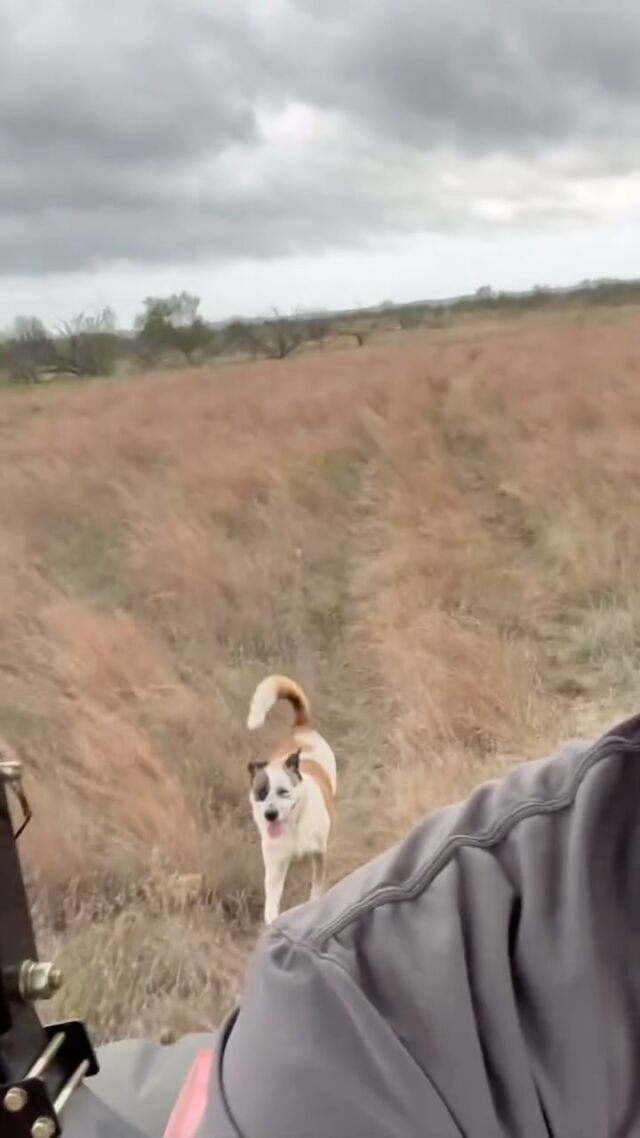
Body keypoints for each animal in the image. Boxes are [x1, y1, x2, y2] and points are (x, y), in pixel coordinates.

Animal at [244, 673, 339, 924]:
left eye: (283, 791)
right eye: (261, 793)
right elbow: (271, 901)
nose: (270, 814)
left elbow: (316, 887)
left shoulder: (319, 854)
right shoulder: (275, 865)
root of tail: (301, 727)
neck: (294, 825)